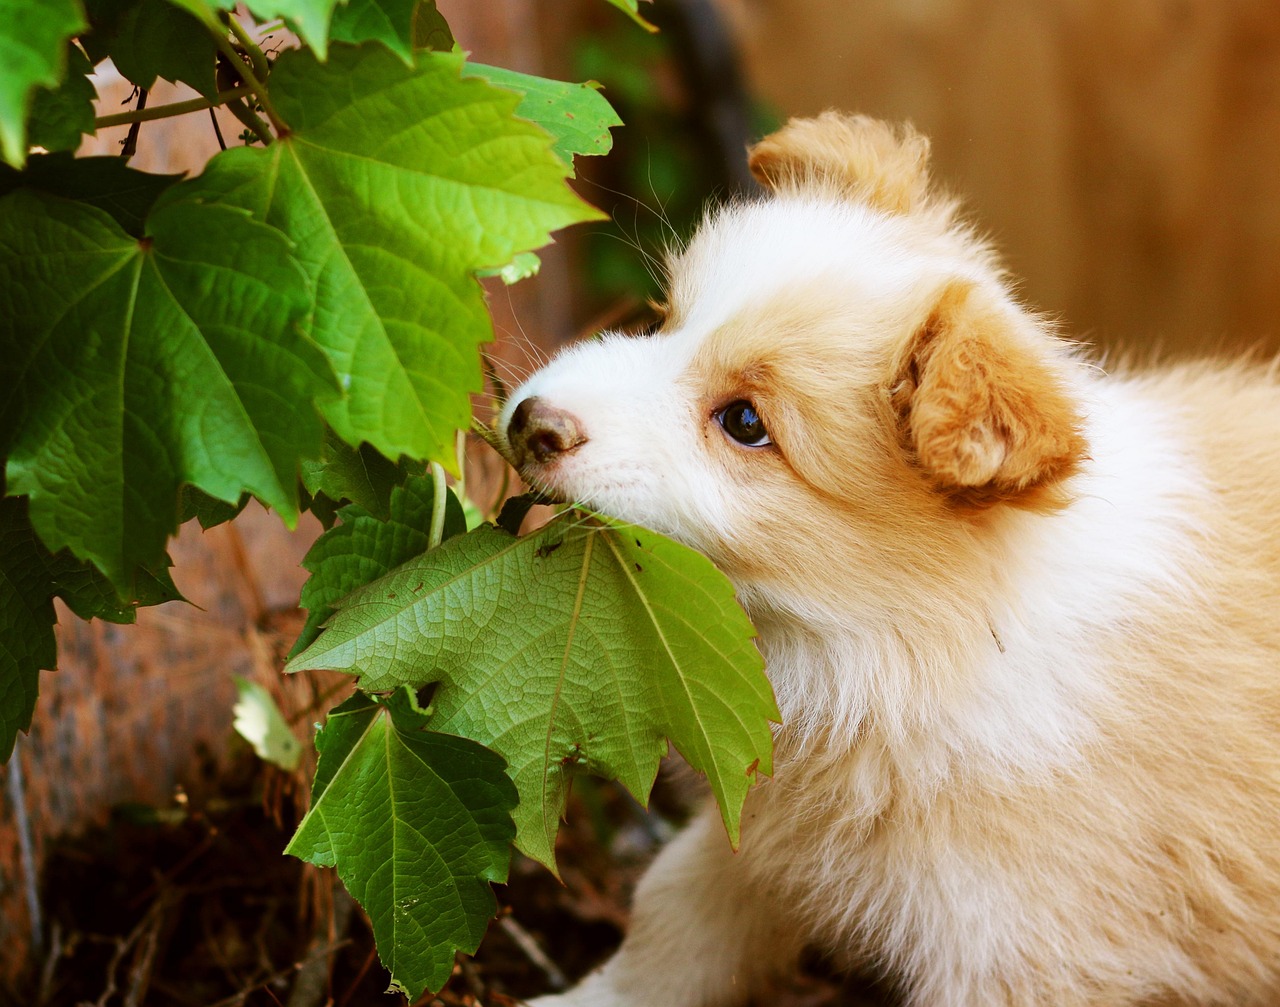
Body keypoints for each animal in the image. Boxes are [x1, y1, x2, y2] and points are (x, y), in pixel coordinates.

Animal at [496, 114, 1280, 1007]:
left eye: (745, 423)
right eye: (662, 319)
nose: (529, 422)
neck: (907, 639)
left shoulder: (1015, 945)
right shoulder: (766, 829)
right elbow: (673, 917)